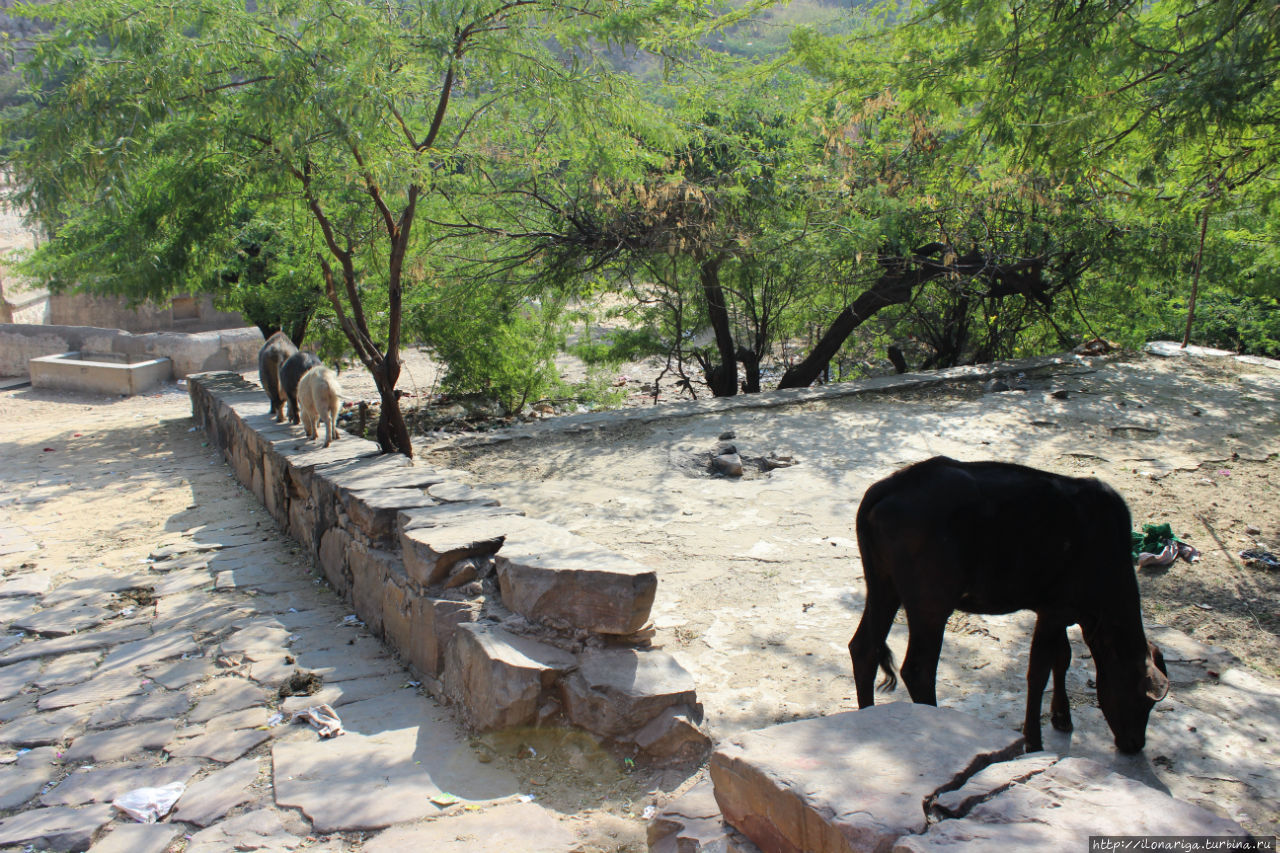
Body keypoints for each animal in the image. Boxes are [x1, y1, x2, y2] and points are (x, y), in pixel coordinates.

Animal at [849, 458, 1172, 753]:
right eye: (1141, 699)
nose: (1135, 744)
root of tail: (891, 485)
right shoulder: (1055, 610)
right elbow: (1038, 672)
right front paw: (1034, 741)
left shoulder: (1058, 610)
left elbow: (1062, 658)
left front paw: (1062, 716)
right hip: (930, 603)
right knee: (918, 670)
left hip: (883, 585)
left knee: (864, 647)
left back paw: (867, 715)